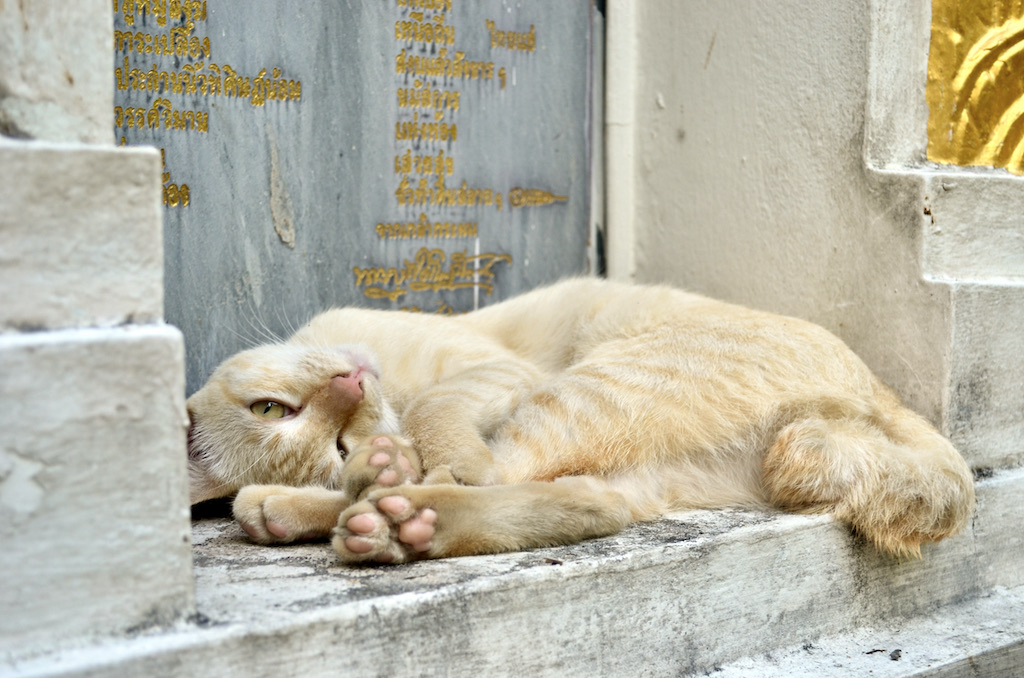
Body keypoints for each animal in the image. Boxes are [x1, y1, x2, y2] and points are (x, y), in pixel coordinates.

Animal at [186, 278, 974, 565]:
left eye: (271, 407)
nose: (348, 385)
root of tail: (880, 393)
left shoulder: (497, 373)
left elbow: (438, 420)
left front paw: (396, 455)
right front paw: (363, 475)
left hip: (592, 390)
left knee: (482, 474)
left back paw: (385, 512)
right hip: (631, 459)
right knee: (582, 503)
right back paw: (371, 522)